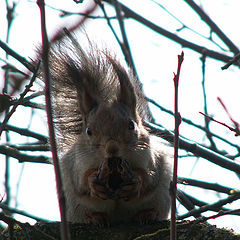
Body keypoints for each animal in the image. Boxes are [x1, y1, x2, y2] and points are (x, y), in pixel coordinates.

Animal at [48, 34, 172, 226]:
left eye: (131, 125)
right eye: (89, 131)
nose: (112, 149)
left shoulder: (151, 157)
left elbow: (149, 177)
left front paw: (136, 182)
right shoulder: (77, 163)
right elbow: (81, 181)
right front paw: (92, 182)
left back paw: (147, 214)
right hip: (74, 206)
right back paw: (93, 217)